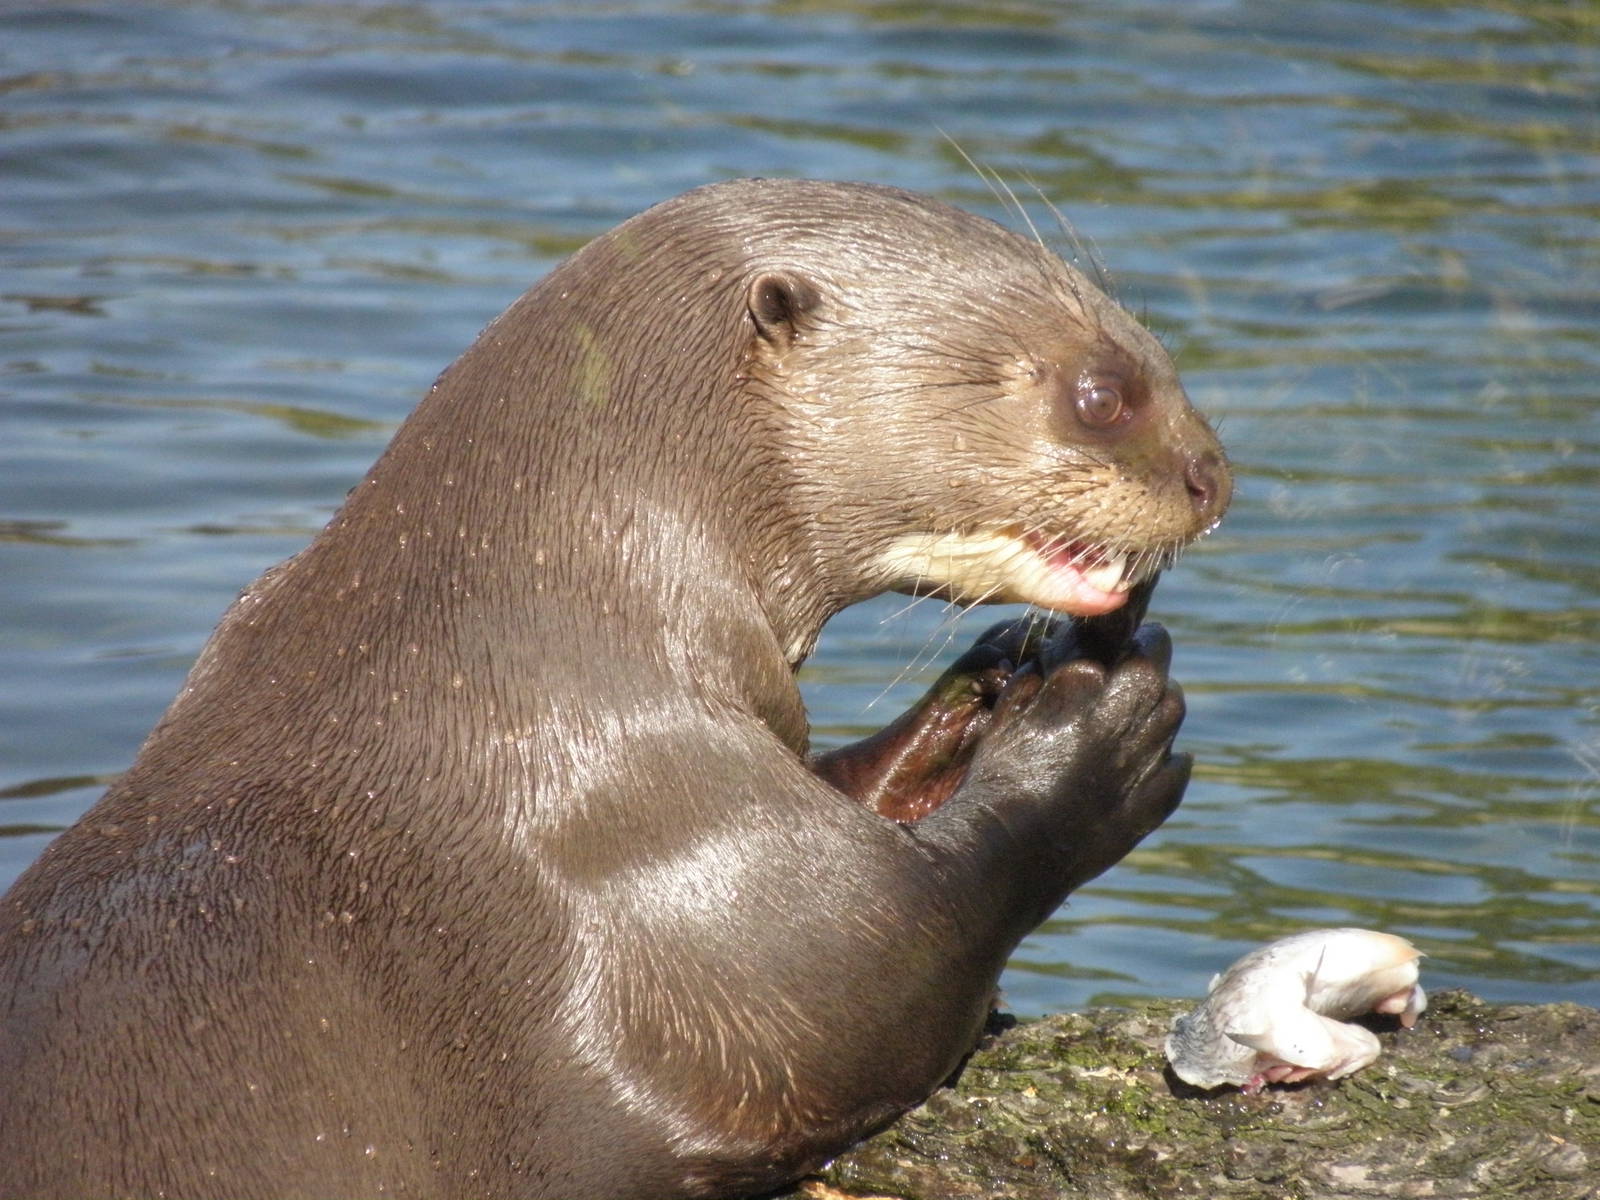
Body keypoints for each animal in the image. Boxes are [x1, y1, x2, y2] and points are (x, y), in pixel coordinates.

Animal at [0, 179, 1229, 1199]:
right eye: (1102, 394)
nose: (1215, 472)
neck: (559, 613)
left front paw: (987, 689)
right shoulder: (658, 861)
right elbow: (886, 966)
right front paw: (1089, 731)